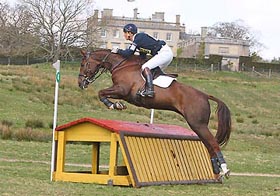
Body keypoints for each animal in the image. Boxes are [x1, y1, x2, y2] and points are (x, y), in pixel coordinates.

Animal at [77, 49, 231, 178]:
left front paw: (114, 105)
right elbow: (101, 93)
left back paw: (224, 169)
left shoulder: (121, 90)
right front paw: (116, 105)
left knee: (212, 143)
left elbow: (101, 93)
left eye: (83, 64)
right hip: (198, 126)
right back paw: (216, 170)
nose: (80, 83)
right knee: (209, 144)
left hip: (198, 124)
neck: (121, 65)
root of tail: (205, 95)